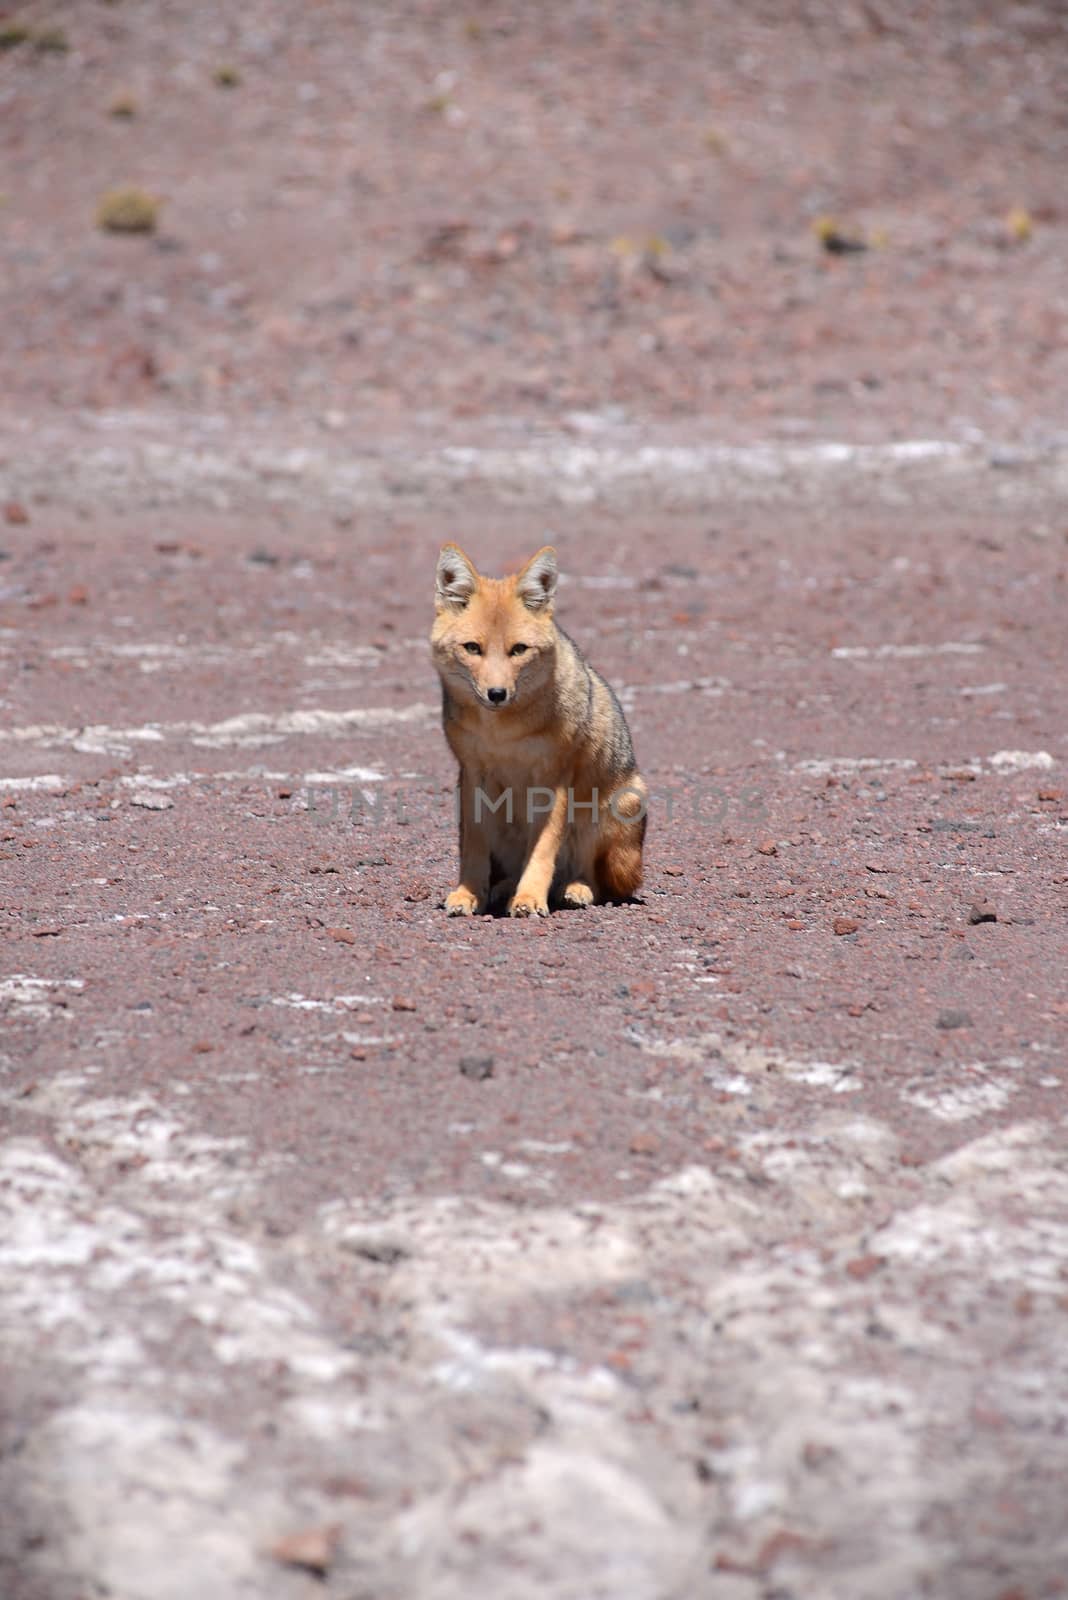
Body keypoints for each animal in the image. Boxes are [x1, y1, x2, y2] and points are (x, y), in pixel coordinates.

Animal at [428, 544, 645, 915]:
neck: (502, 733)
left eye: (518, 650)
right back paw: (503, 889)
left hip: (614, 811)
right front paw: (468, 893)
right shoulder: (472, 775)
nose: (496, 693)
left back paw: (575, 889)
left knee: (596, 879)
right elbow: (472, 846)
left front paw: (529, 898)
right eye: (472, 648)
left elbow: (542, 850)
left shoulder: (553, 779)